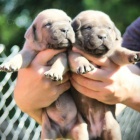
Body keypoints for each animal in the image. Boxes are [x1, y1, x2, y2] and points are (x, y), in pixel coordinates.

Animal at [0, 9, 87, 139]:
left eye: (69, 21)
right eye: (48, 24)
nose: (65, 29)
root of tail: (64, 132)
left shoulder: (63, 56)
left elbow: (58, 63)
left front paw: (54, 73)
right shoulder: (29, 51)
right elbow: (20, 56)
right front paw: (10, 64)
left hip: (80, 130)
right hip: (47, 131)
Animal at [69, 10, 140, 140]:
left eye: (108, 28)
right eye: (88, 28)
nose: (102, 36)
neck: (96, 54)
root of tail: (95, 132)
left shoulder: (113, 53)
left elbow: (121, 52)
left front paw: (133, 54)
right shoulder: (72, 53)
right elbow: (78, 57)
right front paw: (84, 64)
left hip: (112, 129)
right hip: (80, 129)